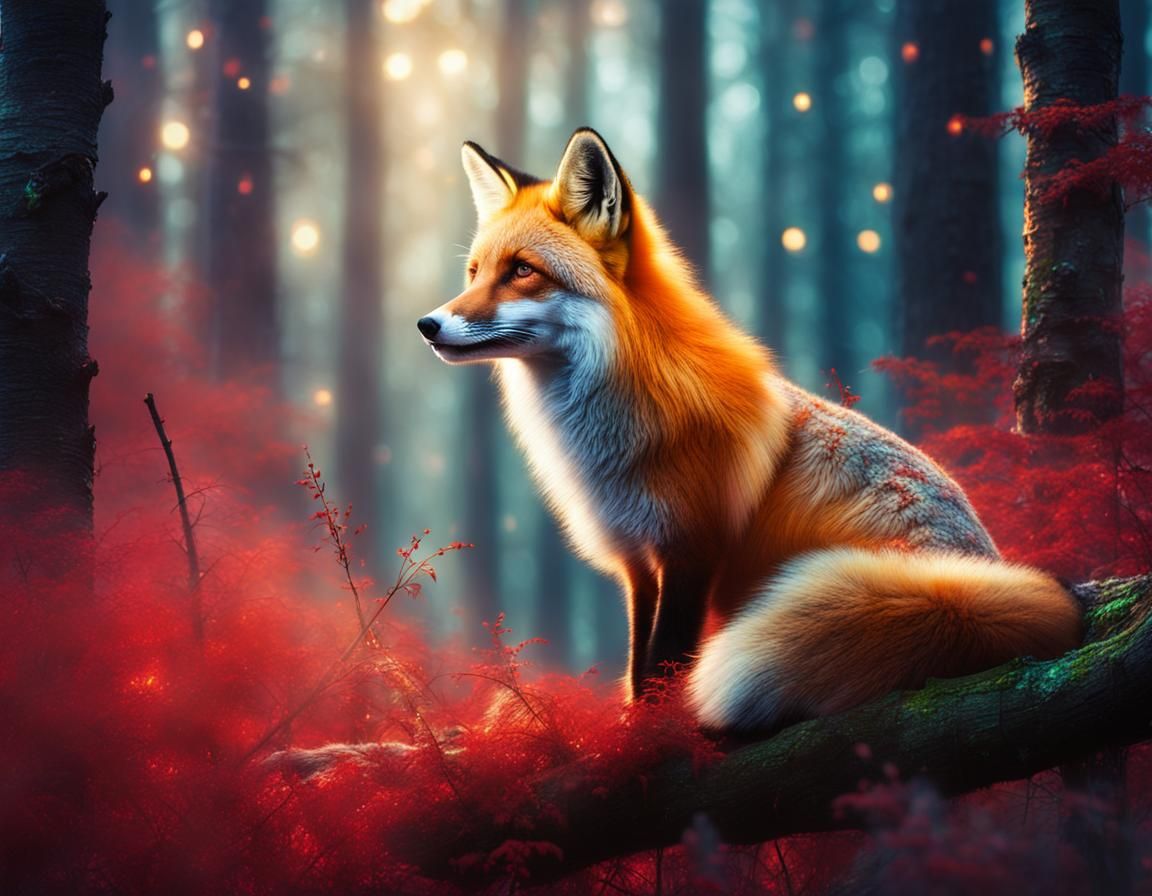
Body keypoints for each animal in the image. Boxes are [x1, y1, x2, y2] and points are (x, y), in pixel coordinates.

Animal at [417, 127, 1083, 734]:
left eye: (522, 271)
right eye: (475, 272)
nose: (428, 324)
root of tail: (971, 587)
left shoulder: (692, 547)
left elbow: (665, 662)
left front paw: (651, 742)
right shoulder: (638, 559)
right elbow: (637, 666)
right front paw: (632, 729)